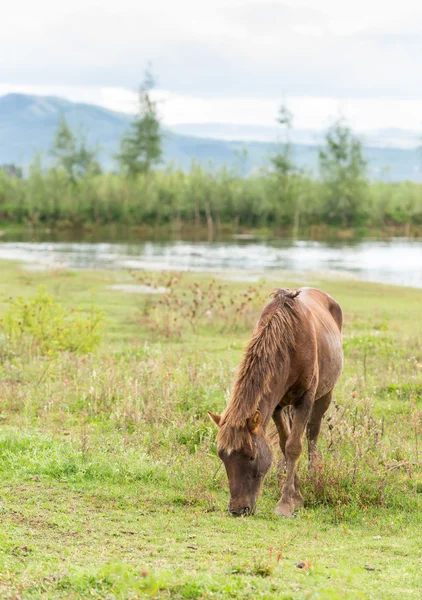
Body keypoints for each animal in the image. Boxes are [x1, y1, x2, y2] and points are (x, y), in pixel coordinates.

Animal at [208, 286, 342, 516]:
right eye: (222, 456)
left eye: (251, 456)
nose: (237, 509)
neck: (290, 343)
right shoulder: (277, 406)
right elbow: (283, 443)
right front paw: (295, 490)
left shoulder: (305, 400)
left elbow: (293, 446)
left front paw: (287, 502)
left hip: (325, 395)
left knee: (312, 433)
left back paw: (313, 475)